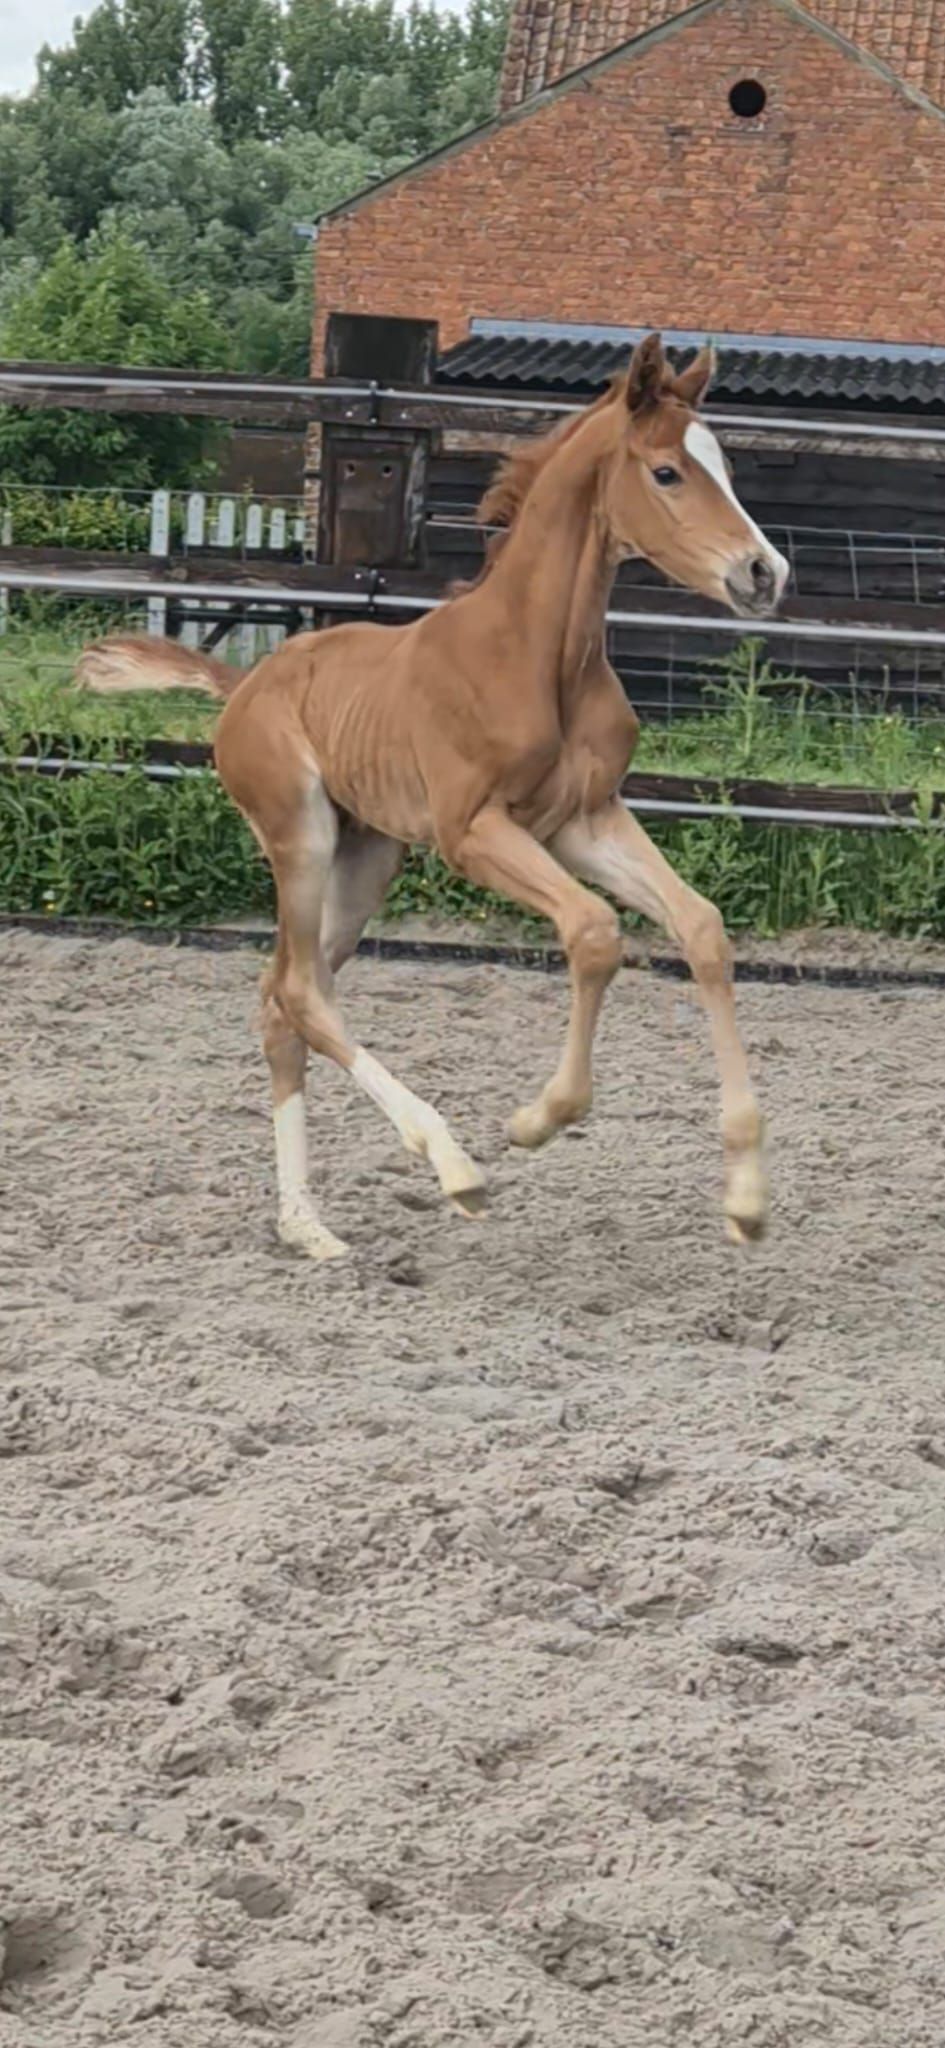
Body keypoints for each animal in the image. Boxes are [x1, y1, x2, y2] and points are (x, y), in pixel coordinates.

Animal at [78, 333, 788, 1262]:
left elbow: (699, 928)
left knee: (283, 1002)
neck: (536, 657)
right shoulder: (471, 832)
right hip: (301, 837)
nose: (763, 573)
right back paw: (451, 1165)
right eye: (667, 471)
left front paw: (745, 1198)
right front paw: (535, 1120)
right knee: (301, 991)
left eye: (726, 465)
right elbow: (594, 934)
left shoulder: (583, 822)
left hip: (369, 854)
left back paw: (307, 1224)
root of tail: (243, 684)